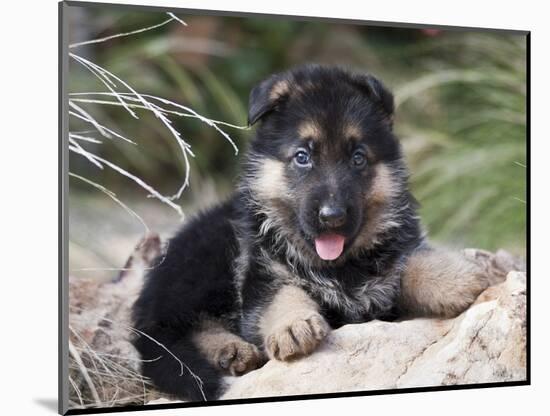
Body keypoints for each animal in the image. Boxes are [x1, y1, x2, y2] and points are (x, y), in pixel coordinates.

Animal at [133, 64, 492, 400]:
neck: (338, 267)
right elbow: (282, 293)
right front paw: (294, 325)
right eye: (302, 157)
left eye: (358, 158)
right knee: (182, 327)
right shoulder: (262, 273)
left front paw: (454, 277)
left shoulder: (387, 276)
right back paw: (231, 349)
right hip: (210, 259)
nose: (332, 216)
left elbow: (406, 264)